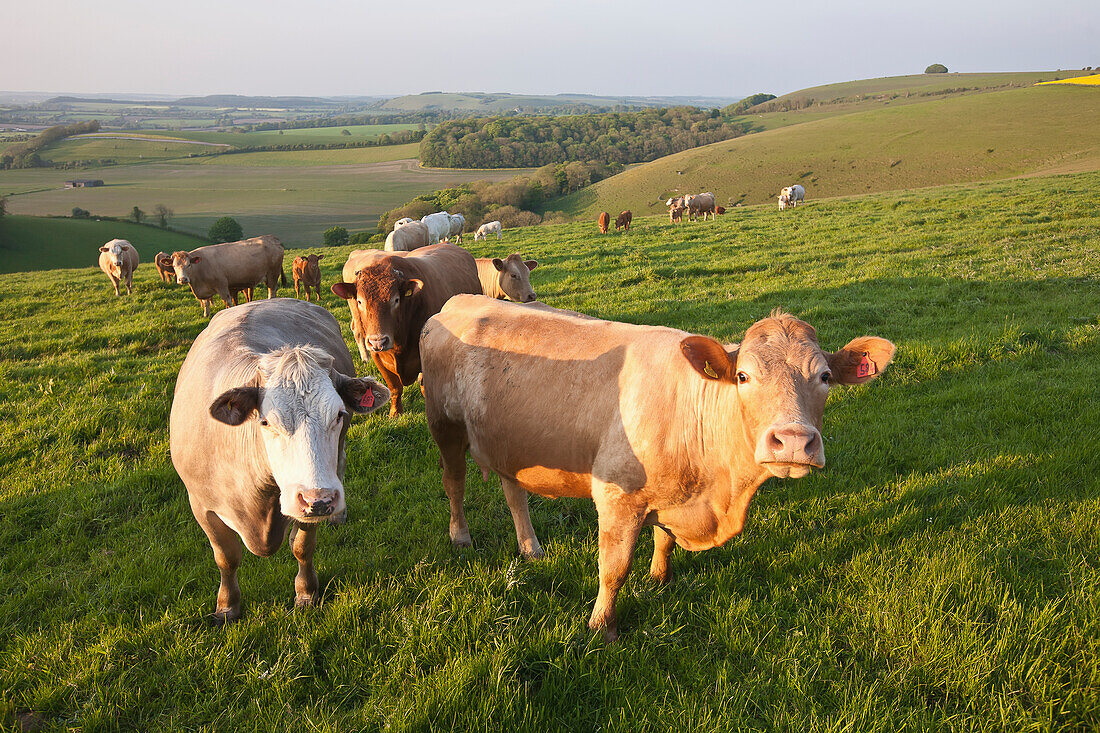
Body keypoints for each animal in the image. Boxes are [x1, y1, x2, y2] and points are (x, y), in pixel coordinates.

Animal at [171, 297, 391, 620]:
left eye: (339, 414)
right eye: (265, 422)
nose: (321, 500)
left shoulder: (310, 500)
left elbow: (302, 546)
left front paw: (306, 592)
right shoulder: (201, 505)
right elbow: (226, 557)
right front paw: (227, 605)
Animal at [332, 244, 484, 413]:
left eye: (396, 300)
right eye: (359, 301)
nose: (378, 341)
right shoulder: (377, 357)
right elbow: (394, 388)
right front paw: (395, 412)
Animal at [420, 297, 893, 638]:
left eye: (825, 377)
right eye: (743, 376)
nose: (793, 440)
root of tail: (453, 303)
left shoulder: (674, 496)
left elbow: (663, 541)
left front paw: (659, 579)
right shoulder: (618, 496)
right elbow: (613, 568)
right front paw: (602, 627)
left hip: (507, 442)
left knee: (513, 491)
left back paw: (530, 548)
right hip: (445, 426)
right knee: (454, 482)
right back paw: (461, 536)